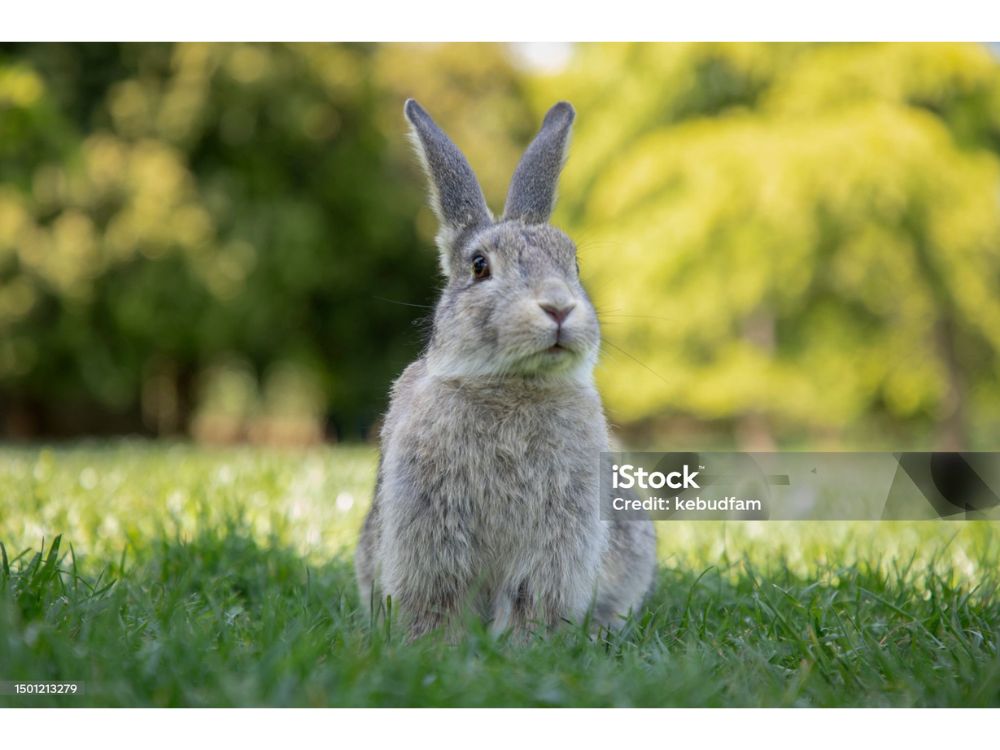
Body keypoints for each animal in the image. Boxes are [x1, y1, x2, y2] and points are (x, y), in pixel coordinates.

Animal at [356, 98, 660, 640]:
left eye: (574, 265)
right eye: (479, 266)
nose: (559, 307)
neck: (510, 384)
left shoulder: (557, 542)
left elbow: (530, 599)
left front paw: (526, 646)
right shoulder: (430, 531)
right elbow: (437, 600)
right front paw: (433, 647)